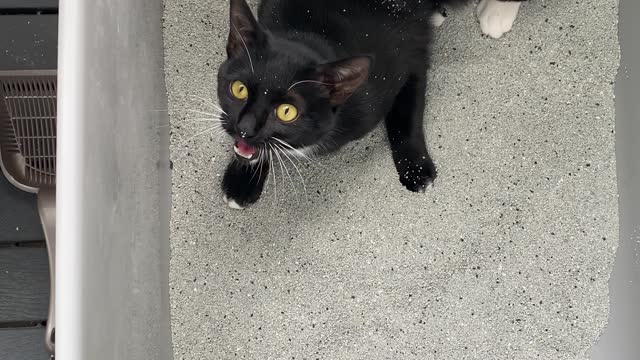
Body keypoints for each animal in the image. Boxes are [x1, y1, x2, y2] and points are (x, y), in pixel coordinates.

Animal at [216, 0, 524, 208]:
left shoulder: (409, 57)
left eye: (287, 111)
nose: (244, 128)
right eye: (239, 89)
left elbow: (405, 116)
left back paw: (494, 14)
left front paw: (415, 168)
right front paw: (242, 179)